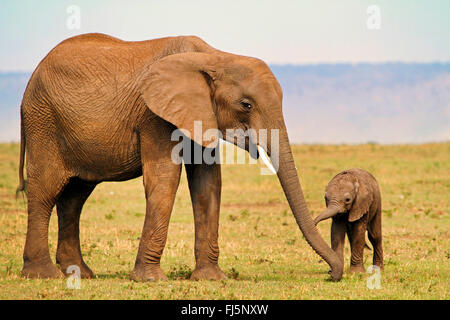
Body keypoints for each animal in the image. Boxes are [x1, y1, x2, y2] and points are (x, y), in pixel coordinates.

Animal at [16, 33, 342, 282]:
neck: (214, 57)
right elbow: (165, 180)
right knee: (45, 191)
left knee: (75, 197)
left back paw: (80, 274)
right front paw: (151, 280)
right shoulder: (154, 114)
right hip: (43, 122)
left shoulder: (201, 114)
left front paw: (211, 279)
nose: (332, 274)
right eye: (246, 105)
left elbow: (208, 183)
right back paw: (43, 275)